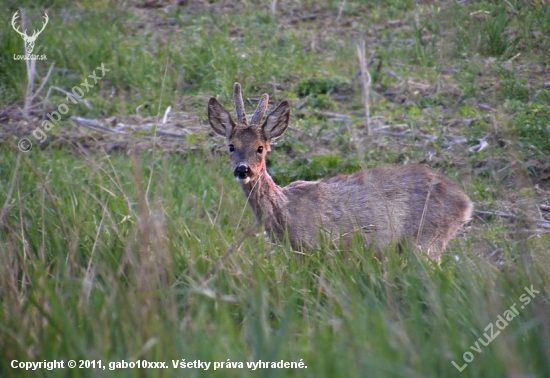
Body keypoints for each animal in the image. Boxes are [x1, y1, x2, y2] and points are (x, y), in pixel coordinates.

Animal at [208, 82, 474, 260]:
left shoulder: (324, 245)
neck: (286, 214)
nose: (243, 170)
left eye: (260, 148)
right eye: (231, 146)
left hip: (426, 241)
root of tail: (465, 203)